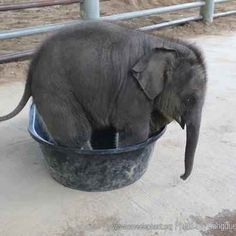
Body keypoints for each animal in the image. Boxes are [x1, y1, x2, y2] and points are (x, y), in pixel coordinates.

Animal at [0, 21, 206, 179]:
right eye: (189, 99)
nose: (181, 176)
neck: (165, 43)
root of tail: (32, 64)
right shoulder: (132, 89)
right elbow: (136, 133)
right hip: (54, 89)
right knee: (77, 134)